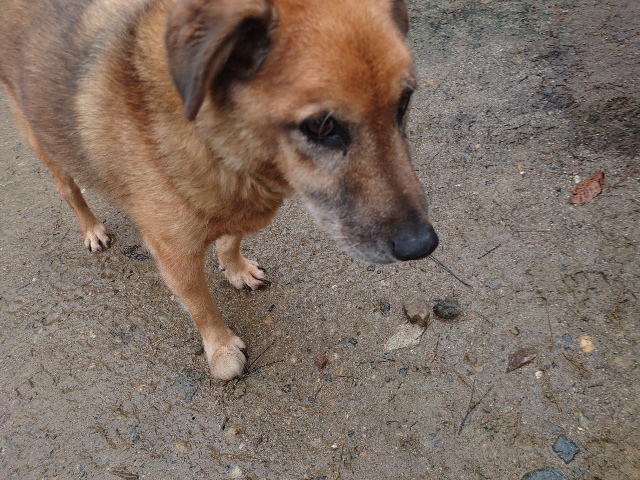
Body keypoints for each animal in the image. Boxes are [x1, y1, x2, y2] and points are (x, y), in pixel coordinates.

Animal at [0, 0, 439, 380]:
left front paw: (236, 269)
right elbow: (201, 307)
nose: (423, 245)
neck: (217, 145)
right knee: (69, 191)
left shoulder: (238, 211)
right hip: (46, 146)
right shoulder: (176, 259)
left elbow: (231, 240)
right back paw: (91, 228)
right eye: (320, 125)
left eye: (404, 102)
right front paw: (222, 349)